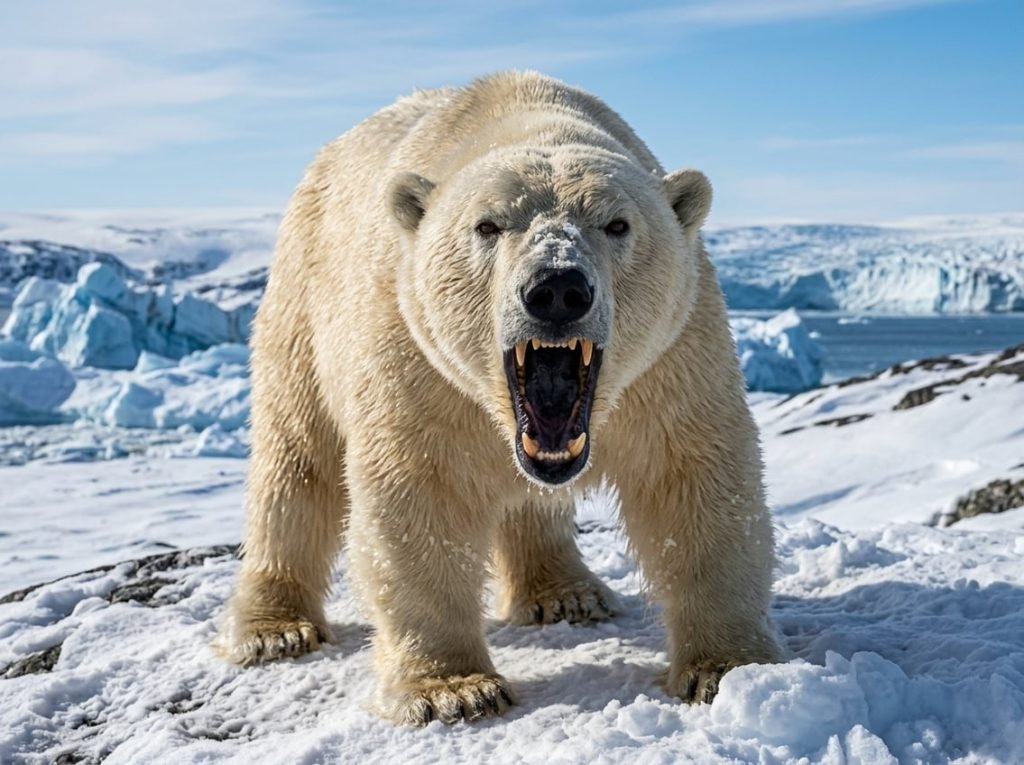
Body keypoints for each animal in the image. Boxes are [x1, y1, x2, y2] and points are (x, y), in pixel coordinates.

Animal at [218, 70, 779, 725]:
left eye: (617, 224)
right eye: (487, 226)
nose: (557, 287)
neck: (527, 117)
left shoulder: (674, 357)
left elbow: (695, 479)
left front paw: (726, 668)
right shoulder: (416, 355)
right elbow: (419, 491)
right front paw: (453, 689)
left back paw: (566, 593)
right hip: (302, 306)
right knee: (297, 460)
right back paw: (274, 628)